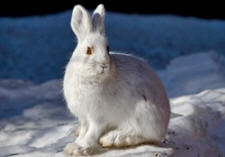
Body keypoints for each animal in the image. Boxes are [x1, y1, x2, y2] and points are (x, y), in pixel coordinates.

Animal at [62, 3, 170, 156]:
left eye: (108, 49)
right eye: (88, 50)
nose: (104, 65)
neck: (92, 78)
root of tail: (164, 124)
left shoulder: (98, 117)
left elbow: (92, 133)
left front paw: (79, 148)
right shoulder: (84, 117)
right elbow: (84, 130)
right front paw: (75, 143)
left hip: (142, 113)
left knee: (141, 133)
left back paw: (112, 138)